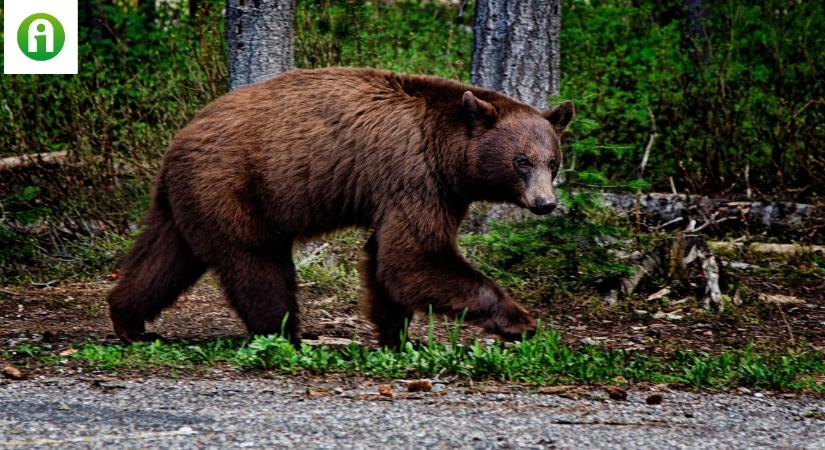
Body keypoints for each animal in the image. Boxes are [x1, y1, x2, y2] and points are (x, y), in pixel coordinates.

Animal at [108, 67, 572, 348]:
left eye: (553, 161)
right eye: (521, 161)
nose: (545, 203)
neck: (448, 151)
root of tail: (177, 141)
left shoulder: (438, 191)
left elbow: (387, 261)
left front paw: (397, 337)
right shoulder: (414, 177)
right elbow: (415, 257)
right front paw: (520, 321)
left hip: (185, 199)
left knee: (166, 257)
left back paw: (128, 321)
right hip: (231, 186)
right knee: (256, 261)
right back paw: (286, 335)